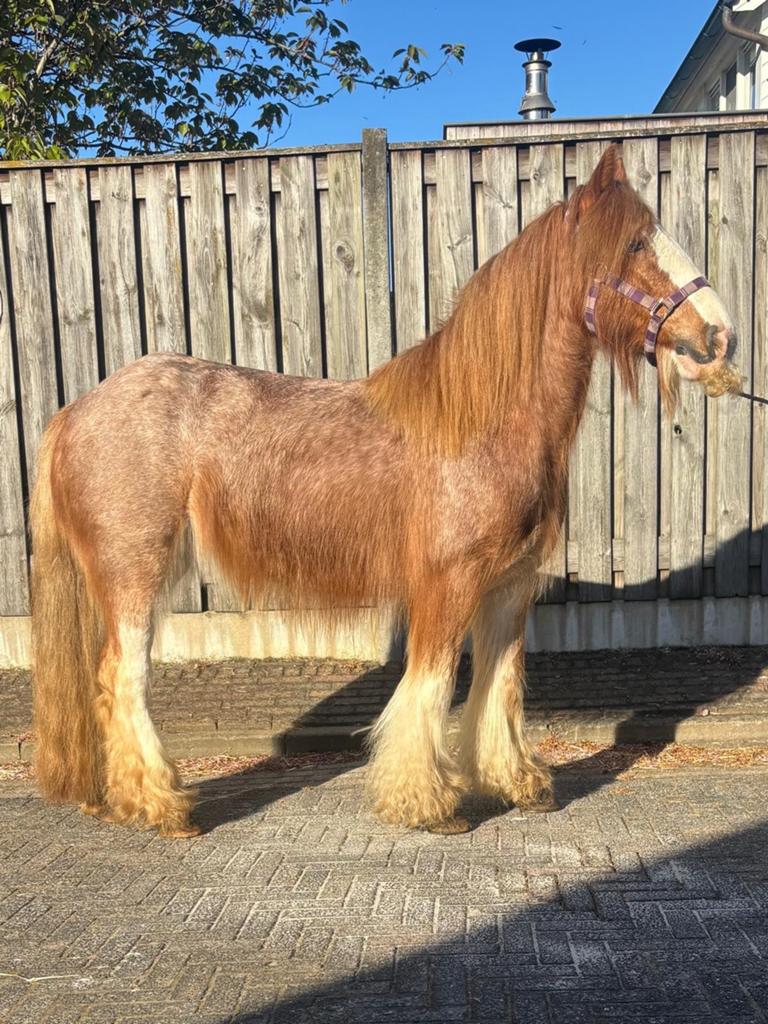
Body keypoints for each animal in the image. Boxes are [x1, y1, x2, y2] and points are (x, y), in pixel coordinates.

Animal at [30, 145, 740, 837]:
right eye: (635, 243)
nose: (720, 335)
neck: (479, 420)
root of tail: (73, 412)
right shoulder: (448, 583)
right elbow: (428, 685)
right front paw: (426, 804)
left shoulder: (510, 589)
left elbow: (499, 684)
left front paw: (517, 783)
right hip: (135, 575)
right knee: (124, 678)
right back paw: (162, 806)